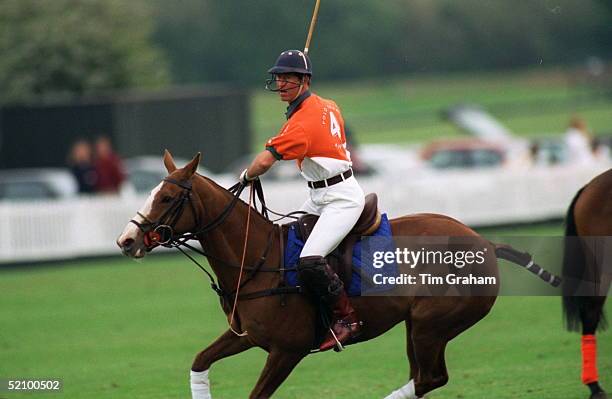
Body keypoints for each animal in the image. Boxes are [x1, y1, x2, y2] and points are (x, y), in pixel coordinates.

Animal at [116, 152, 560, 398]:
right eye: (151, 193)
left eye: (167, 197)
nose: (126, 240)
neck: (256, 260)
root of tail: (485, 242)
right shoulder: (247, 336)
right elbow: (199, 361)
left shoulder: (288, 350)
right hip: (417, 327)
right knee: (424, 378)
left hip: (432, 324)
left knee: (429, 378)